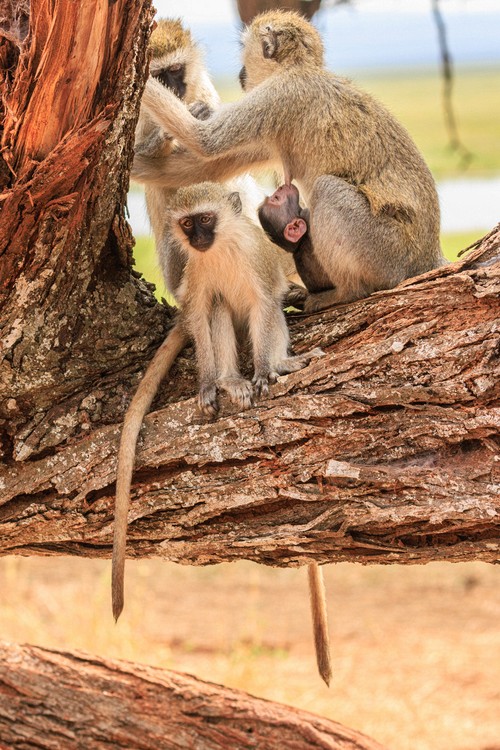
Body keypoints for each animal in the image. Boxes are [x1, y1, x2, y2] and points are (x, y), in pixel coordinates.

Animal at [112, 182, 328, 676]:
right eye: (188, 223)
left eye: (207, 220)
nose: (197, 239)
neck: (223, 249)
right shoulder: (197, 272)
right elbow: (202, 314)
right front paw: (210, 384)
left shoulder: (256, 262)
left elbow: (266, 302)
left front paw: (268, 371)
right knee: (216, 311)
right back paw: (229, 380)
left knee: (262, 310)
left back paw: (276, 364)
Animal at [134, 10, 447, 313]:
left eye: (245, 52)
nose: (241, 73)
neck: (298, 67)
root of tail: (427, 257)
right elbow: (205, 167)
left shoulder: (276, 96)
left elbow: (204, 141)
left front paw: (141, 78)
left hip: (387, 254)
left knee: (328, 190)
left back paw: (345, 293)